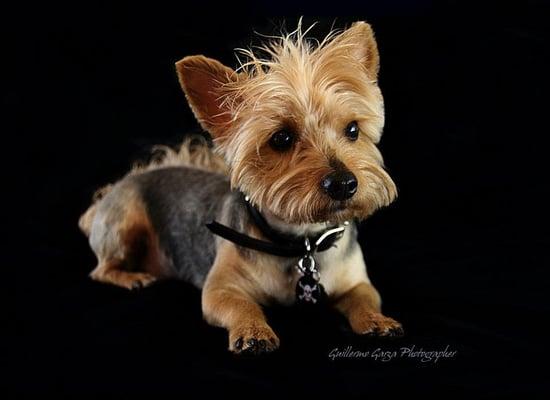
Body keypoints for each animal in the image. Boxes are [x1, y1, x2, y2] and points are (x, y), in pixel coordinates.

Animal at [80, 21, 404, 354]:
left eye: (352, 130)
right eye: (281, 138)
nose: (343, 184)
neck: (299, 242)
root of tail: (115, 189)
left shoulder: (358, 282)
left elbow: (365, 300)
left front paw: (377, 320)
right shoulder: (220, 290)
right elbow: (241, 306)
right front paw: (253, 330)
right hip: (124, 225)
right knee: (101, 268)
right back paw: (131, 277)